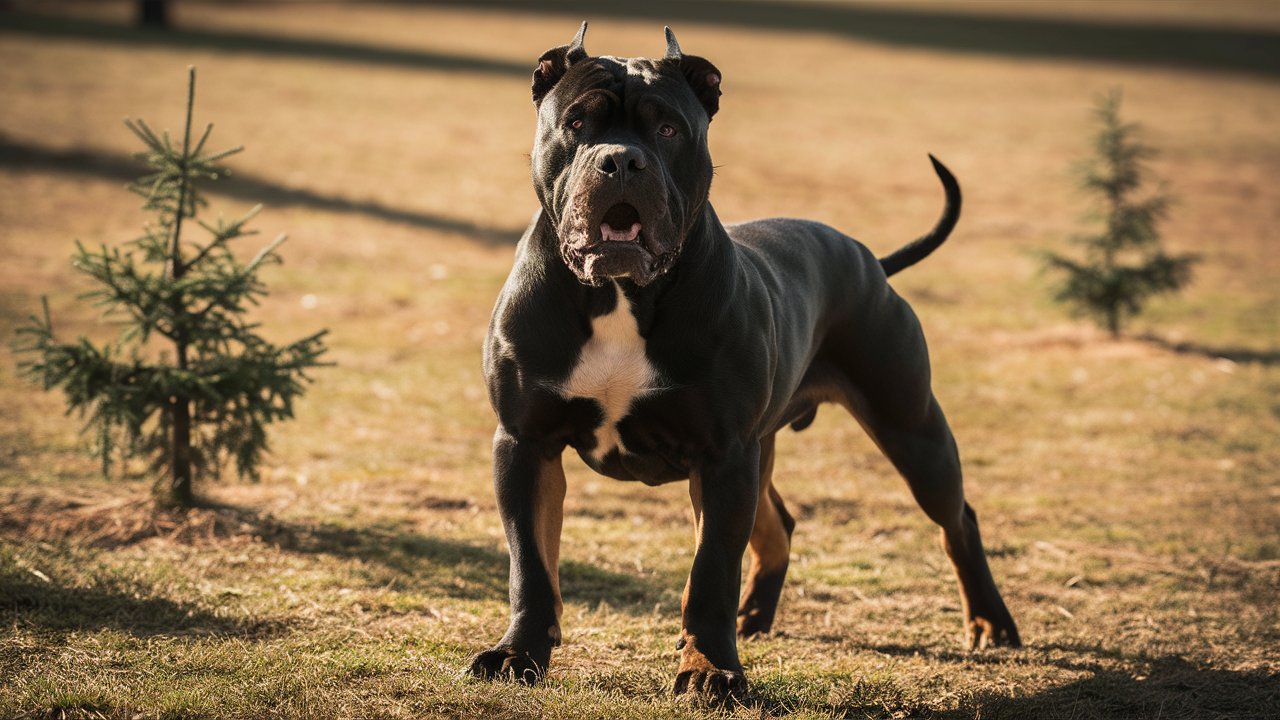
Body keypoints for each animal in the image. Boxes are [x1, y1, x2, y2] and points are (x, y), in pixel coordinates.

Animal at [471, 25, 1018, 696]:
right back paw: (754, 616)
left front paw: (709, 669)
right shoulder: (526, 444)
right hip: (772, 450)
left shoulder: (722, 457)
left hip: (911, 429)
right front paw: (518, 655)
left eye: (668, 128)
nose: (621, 159)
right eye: (576, 123)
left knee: (957, 517)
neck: (621, 295)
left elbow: (710, 572)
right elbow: (531, 565)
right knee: (778, 525)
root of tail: (869, 258)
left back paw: (991, 623)